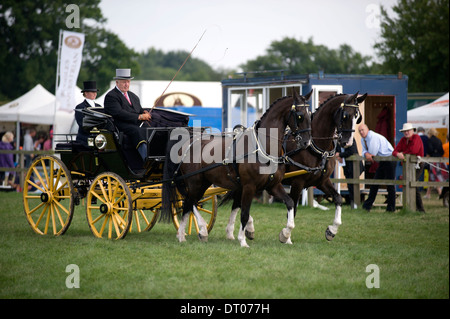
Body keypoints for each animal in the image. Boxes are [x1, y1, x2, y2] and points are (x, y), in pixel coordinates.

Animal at [162, 89, 312, 248]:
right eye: (300, 115)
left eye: (310, 114)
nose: (306, 142)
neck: (261, 147)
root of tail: (187, 143)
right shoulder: (249, 186)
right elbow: (244, 213)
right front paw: (242, 240)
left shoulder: (273, 185)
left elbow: (290, 203)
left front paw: (285, 235)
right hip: (195, 183)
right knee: (188, 203)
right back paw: (192, 232)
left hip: (204, 182)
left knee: (189, 204)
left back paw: (186, 234)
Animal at [225, 92, 366, 245]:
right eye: (346, 115)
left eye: (357, 117)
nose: (348, 142)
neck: (314, 147)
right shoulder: (298, 182)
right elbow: (293, 209)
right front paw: (286, 236)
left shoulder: (322, 181)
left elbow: (338, 199)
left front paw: (331, 231)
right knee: (239, 203)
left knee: (237, 203)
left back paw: (234, 232)